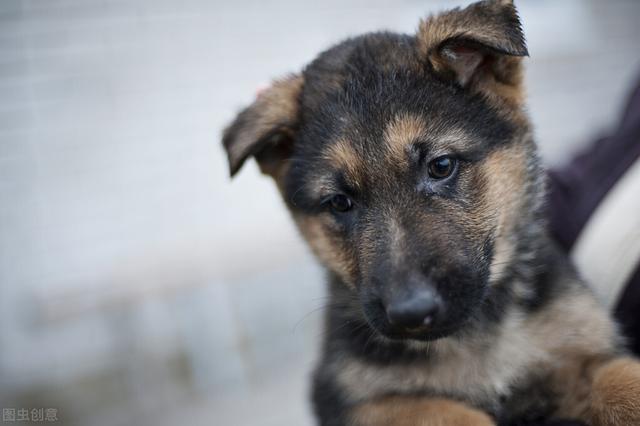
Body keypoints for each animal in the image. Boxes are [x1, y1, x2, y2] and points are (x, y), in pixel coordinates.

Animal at [221, 0, 640, 426]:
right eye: (339, 202)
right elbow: (446, 412)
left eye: (441, 166)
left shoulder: (583, 355)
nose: (411, 313)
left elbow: (623, 380)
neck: (477, 336)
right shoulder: (355, 402)